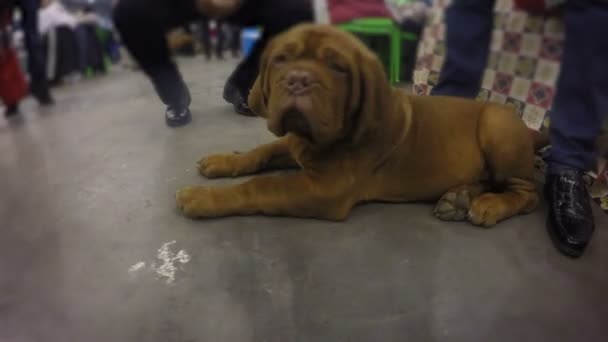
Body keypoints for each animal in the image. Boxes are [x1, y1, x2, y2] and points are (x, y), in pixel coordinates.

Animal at [176, 24, 536, 227]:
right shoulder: (293, 145)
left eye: (338, 68)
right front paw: (222, 160)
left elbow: (261, 186)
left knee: (526, 193)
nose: (298, 80)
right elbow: (260, 152)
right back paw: (459, 198)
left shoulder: (323, 188)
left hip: (497, 126)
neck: (313, 140)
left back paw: (488, 205)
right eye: (281, 59)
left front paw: (202, 197)